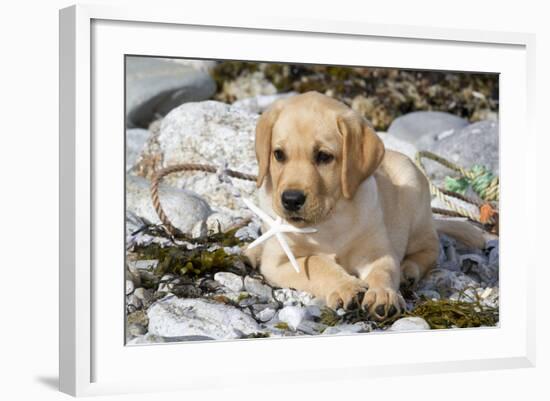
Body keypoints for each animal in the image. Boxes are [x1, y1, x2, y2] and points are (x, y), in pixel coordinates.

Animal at [251, 90, 488, 318]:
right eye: (278, 154)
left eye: (324, 156)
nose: (291, 199)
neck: (329, 220)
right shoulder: (278, 261)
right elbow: (317, 263)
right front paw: (346, 286)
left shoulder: (377, 253)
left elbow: (383, 271)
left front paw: (383, 294)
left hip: (415, 198)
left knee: (430, 249)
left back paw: (407, 271)